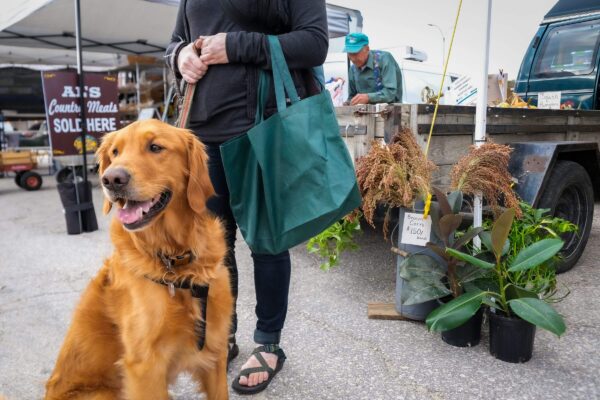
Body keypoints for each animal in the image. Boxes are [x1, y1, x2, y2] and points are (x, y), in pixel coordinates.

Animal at [44, 119, 232, 400]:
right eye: (115, 152)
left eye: (155, 147)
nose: (111, 179)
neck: (174, 260)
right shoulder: (144, 366)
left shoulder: (215, 348)